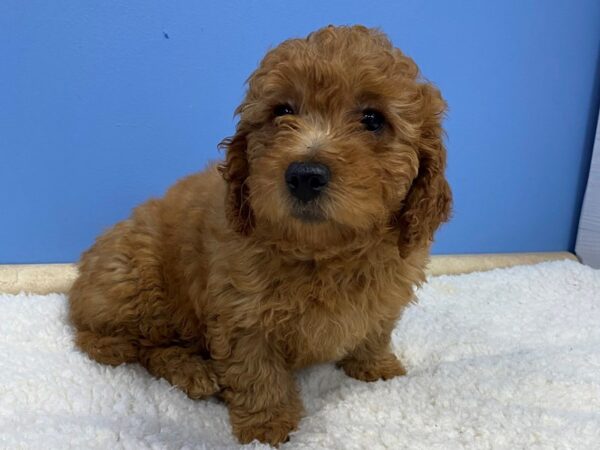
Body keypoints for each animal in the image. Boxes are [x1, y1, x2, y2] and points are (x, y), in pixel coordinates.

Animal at [69, 25, 450, 446]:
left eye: (373, 119)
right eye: (282, 111)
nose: (304, 175)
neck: (323, 251)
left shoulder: (388, 290)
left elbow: (377, 329)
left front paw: (377, 367)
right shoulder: (242, 310)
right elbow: (256, 370)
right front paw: (267, 425)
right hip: (137, 280)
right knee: (124, 345)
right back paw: (193, 371)